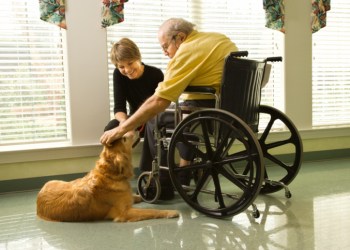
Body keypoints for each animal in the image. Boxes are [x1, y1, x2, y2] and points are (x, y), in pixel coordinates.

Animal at [37, 136, 179, 222]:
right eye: (124, 139)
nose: (137, 128)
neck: (110, 176)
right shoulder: (125, 213)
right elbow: (152, 210)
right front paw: (170, 212)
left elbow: (135, 197)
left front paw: (141, 195)